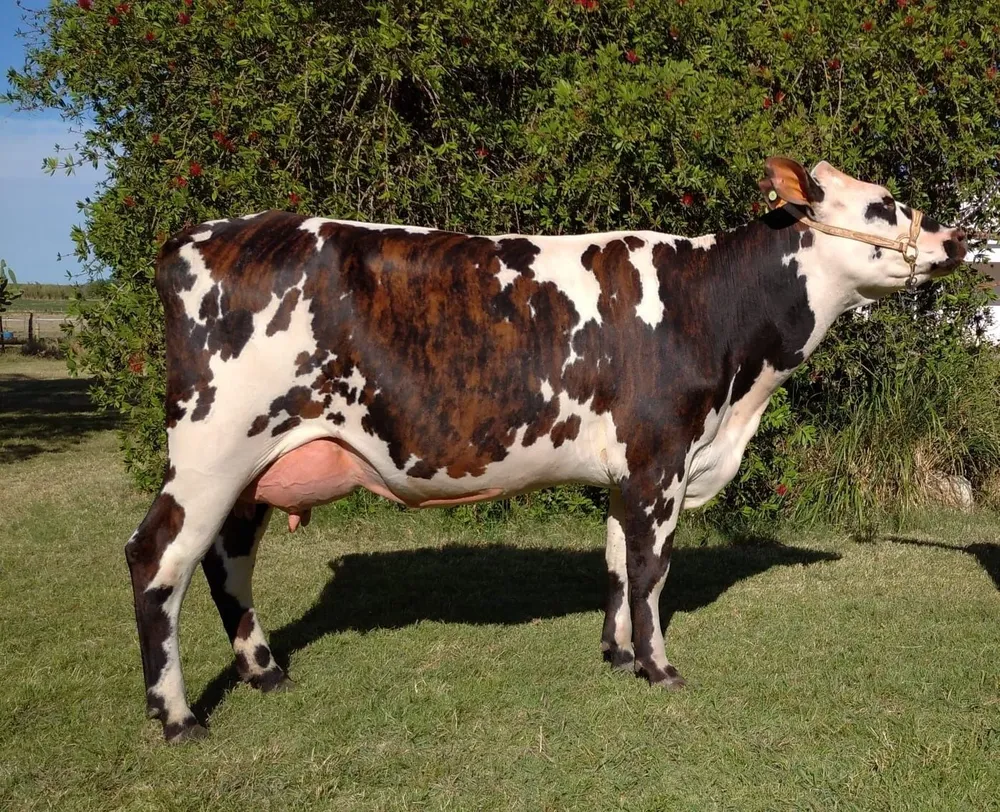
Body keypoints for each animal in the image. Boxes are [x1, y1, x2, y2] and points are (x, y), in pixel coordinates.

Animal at [125, 157, 967, 741]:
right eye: (883, 204)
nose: (955, 237)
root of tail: (200, 235)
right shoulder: (660, 455)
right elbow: (653, 570)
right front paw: (660, 669)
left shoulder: (626, 470)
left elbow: (617, 562)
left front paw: (618, 656)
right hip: (212, 448)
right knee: (158, 558)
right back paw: (178, 717)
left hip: (254, 468)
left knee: (228, 560)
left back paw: (264, 673)